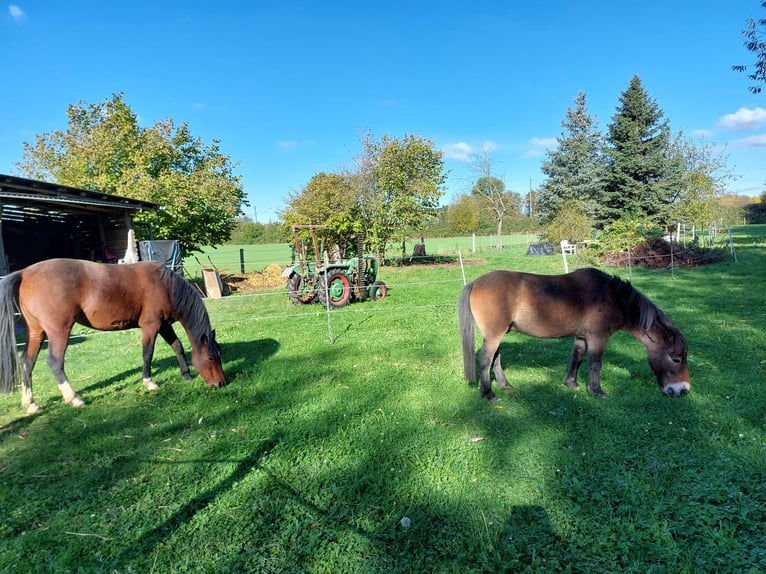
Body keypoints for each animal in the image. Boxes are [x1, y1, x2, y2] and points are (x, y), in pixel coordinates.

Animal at [0, 258, 226, 413]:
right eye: (211, 358)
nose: (221, 384)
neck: (165, 285)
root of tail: (24, 273)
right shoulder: (150, 326)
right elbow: (147, 353)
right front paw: (149, 382)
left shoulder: (163, 325)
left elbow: (177, 346)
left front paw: (186, 375)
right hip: (58, 332)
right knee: (54, 362)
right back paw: (74, 398)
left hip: (37, 333)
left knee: (27, 362)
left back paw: (31, 403)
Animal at [458, 268, 690, 400]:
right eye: (676, 358)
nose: (684, 390)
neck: (613, 297)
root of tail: (475, 282)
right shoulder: (598, 337)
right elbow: (595, 363)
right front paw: (596, 391)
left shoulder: (582, 337)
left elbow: (577, 358)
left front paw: (571, 384)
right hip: (494, 335)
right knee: (486, 359)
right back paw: (487, 393)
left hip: (499, 334)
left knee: (495, 359)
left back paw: (505, 386)